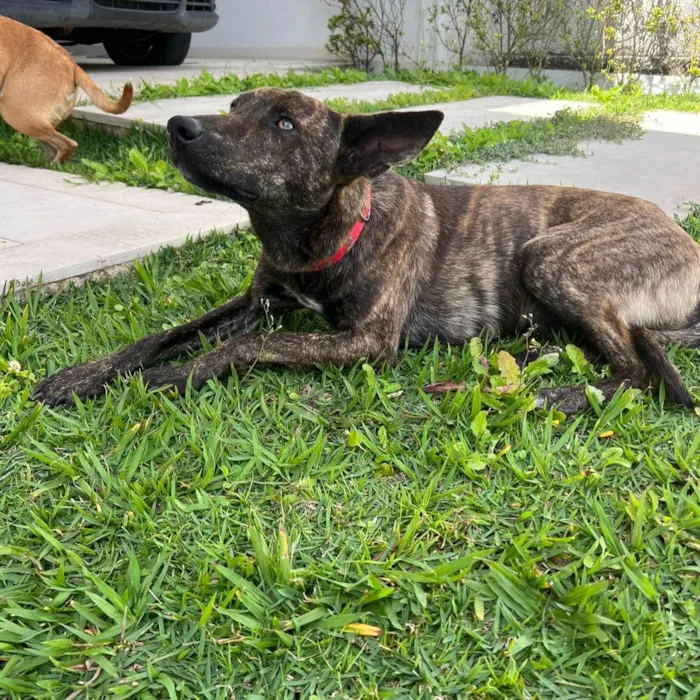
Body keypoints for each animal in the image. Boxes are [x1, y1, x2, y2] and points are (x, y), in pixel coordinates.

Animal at [32, 88, 700, 416]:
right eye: (234, 107)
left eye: (284, 125)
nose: (177, 126)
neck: (315, 239)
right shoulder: (258, 301)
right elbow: (163, 334)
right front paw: (80, 376)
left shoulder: (367, 342)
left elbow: (248, 346)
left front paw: (166, 378)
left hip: (550, 258)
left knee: (638, 370)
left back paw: (557, 394)